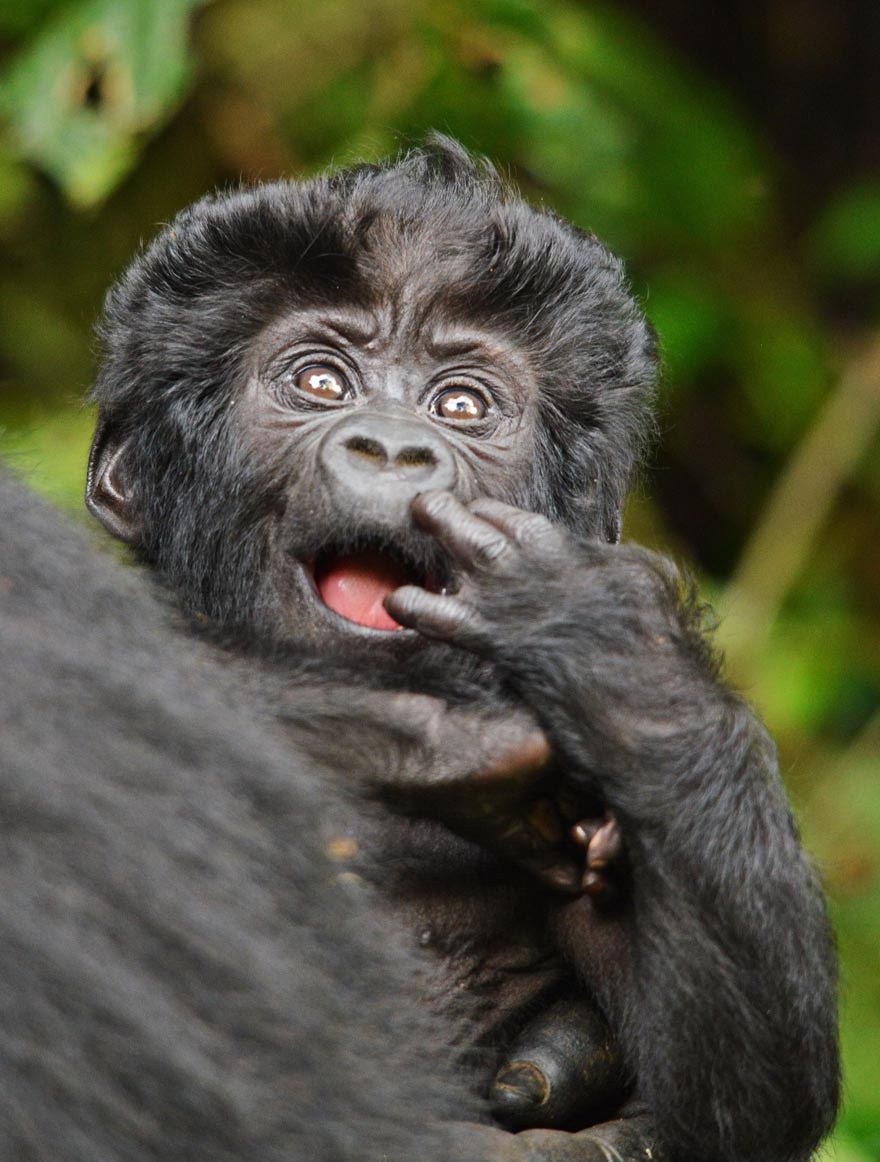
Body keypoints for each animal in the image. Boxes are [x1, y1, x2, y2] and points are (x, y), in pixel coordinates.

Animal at [83, 135, 839, 1161]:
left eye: (461, 405)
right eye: (321, 384)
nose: (397, 447)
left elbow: (738, 1104)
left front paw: (611, 647)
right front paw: (430, 742)